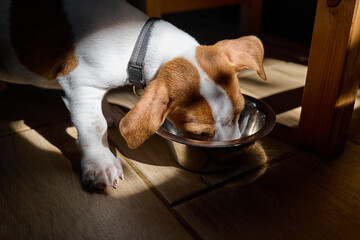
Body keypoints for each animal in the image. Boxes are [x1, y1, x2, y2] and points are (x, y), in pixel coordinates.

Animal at [0, 0, 268, 189]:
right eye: (200, 134)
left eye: (239, 112)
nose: (231, 146)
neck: (139, 43)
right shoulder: (79, 85)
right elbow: (94, 125)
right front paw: (100, 163)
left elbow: (103, 103)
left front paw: (108, 112)